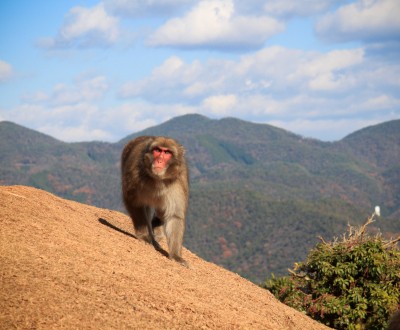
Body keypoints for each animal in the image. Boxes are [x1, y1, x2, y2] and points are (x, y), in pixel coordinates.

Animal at [121, 135, 190, 266]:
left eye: (167, 153)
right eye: (157, 150)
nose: (160, 160)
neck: (158, 178)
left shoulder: (179, 181)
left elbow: (174, 216)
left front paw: (175, 255)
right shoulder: (134, 174)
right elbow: (134, 201)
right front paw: (143, 235)